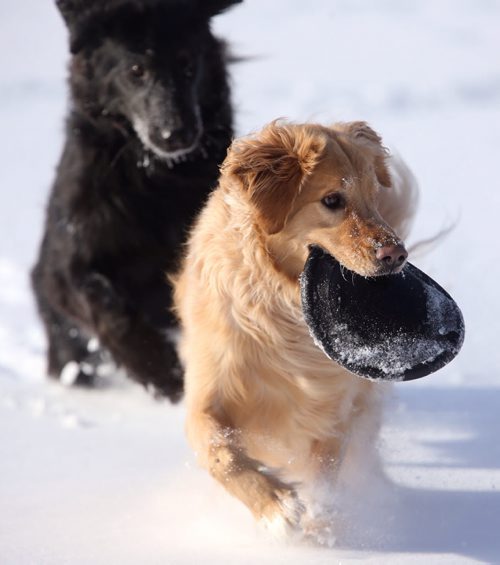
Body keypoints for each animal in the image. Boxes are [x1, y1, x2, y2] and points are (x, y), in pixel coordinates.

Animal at [31, 0, 242, 400]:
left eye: (188, 64)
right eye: (136, 70)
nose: (177, 134)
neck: (153, 173)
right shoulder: (64, 269)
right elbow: (108, 308)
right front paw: (163, 373)